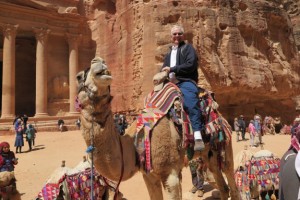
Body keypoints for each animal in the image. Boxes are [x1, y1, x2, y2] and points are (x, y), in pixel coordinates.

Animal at [76, 56, 240, 200]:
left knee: (232, 182)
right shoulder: (148, 174)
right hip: (210, 153)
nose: (99, 61)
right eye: (78, 76)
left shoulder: (170, 173)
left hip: (224, 145)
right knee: (222, 185)